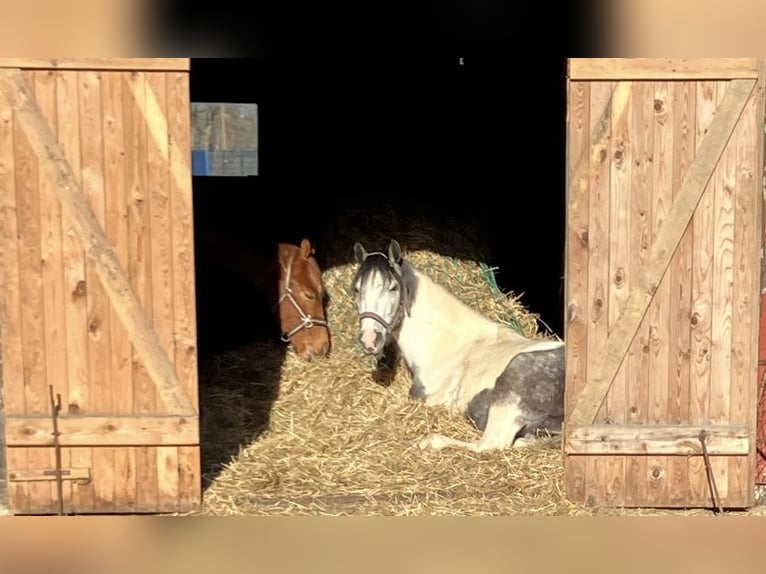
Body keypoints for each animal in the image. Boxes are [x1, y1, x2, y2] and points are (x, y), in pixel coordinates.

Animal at [351, 239, 565, 453]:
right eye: (356, 289)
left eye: (393, 288)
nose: (369, 339)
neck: (449, 346)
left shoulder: (430, 399)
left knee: (488, 445)